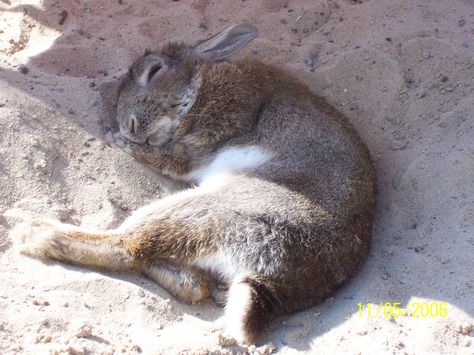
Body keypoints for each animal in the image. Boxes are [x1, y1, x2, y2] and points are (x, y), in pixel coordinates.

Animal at [12, 24, 376, 344]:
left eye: (154, 70)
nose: (129, 126)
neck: (200, 84)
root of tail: (270, 281)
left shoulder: (205, 134)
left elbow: (169, 158)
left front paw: (116, 138)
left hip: (204, 208)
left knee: (128, 246)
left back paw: (30, 229)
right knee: (186, 280)